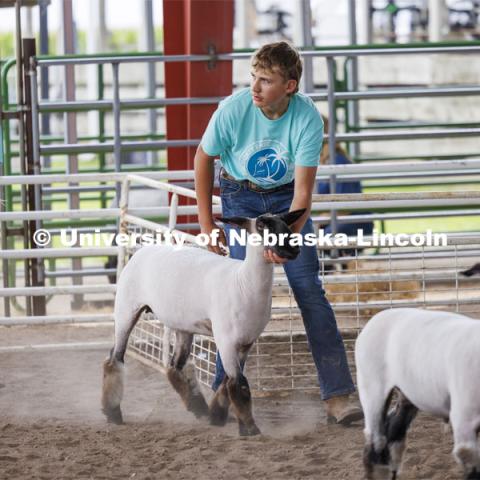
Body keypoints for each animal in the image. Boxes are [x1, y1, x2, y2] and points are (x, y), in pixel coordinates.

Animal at [102, 209, 304, 436]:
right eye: (261, 226)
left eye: (286, 224)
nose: (294, 249)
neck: (243, 283)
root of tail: (141, 252)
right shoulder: (226, 340)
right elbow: (239, 385)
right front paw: (250, 429)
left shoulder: (246, 342)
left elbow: (227, 382)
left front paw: (218, 415)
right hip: (126, 310)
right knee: (114, 359)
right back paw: (113, 413)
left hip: (182, 325)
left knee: (175, 366)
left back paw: (199, 408)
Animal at [356, 308, 480, 480]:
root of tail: (376, 317)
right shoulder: (465, 418)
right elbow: (467, 455)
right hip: (371, 385)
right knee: (376, 439)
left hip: (407, 394)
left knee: (394, 432)